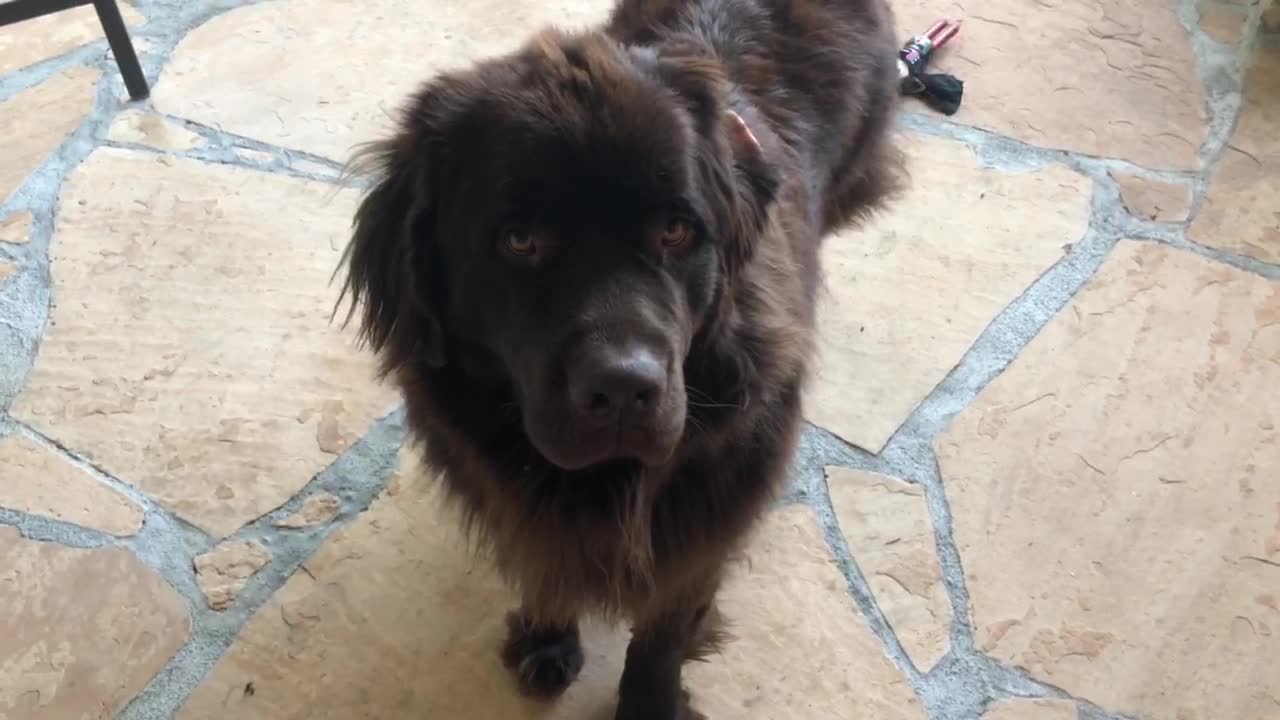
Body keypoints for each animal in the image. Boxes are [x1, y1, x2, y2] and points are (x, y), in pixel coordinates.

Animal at [340, 1, 901, 717]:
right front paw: (545, 640)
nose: (624, 388)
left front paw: (649, 704)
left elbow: (663, 632)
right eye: (519, 240)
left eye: (676, 230)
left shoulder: (702, 527)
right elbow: (544, 561)